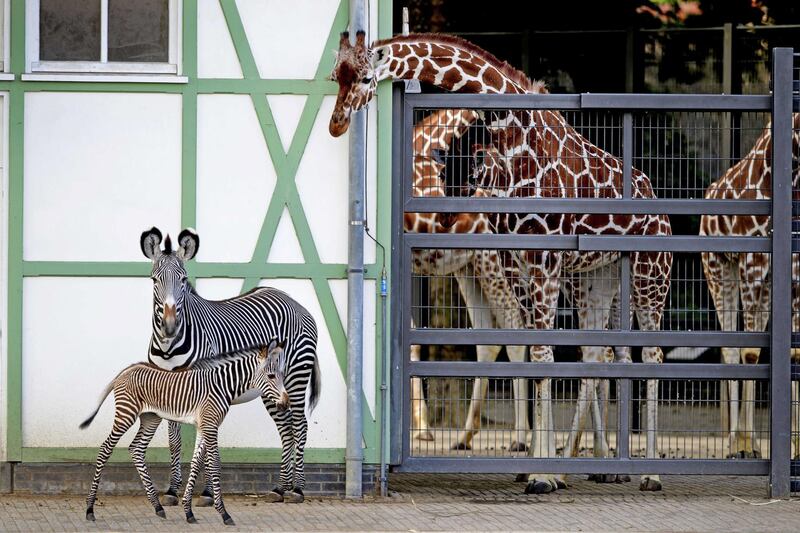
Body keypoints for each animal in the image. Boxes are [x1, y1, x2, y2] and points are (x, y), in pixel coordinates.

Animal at [78, 340, 290, 524]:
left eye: (281, 374)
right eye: (271, 376)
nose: (286, 404)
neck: (223, 385)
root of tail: (127, 370)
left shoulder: (204, 426)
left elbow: (196, 463)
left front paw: (188, 511)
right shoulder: (211, 425)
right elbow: (215, 464)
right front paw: (223, 513)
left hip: (150, 417)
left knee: (136, 449)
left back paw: (158, 507)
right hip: (126, 413)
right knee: (106, 448)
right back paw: (89, 509)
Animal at [142, 228, 320, 502]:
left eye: (183, 280)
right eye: (154, 280)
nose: (170, 326)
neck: (169, 347)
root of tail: (294, 302)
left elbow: (206, 440)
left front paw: (206, 492)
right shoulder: (168, 389)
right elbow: (174, 440)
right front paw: (172, 489)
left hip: (296, 374)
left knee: (300, 425)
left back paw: (297, 489)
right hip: (271, 387)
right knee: (286, 429)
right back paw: (280, 488)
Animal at [406, 108, 532, 448]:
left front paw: (420, 427)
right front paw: (420, 427)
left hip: (492, 261)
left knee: (514, 327)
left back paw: (521, 437)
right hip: (469, 265)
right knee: (488, 337)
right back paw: (465, 434)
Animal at [700, 114, 800, 460]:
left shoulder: (793, 274)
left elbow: (793, 352)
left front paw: (796, 445)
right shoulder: (750, 263)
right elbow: (750, 352)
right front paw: (742, 443)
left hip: (764, 285)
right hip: (719, 271)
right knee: (731, 347)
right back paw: (736, 444)